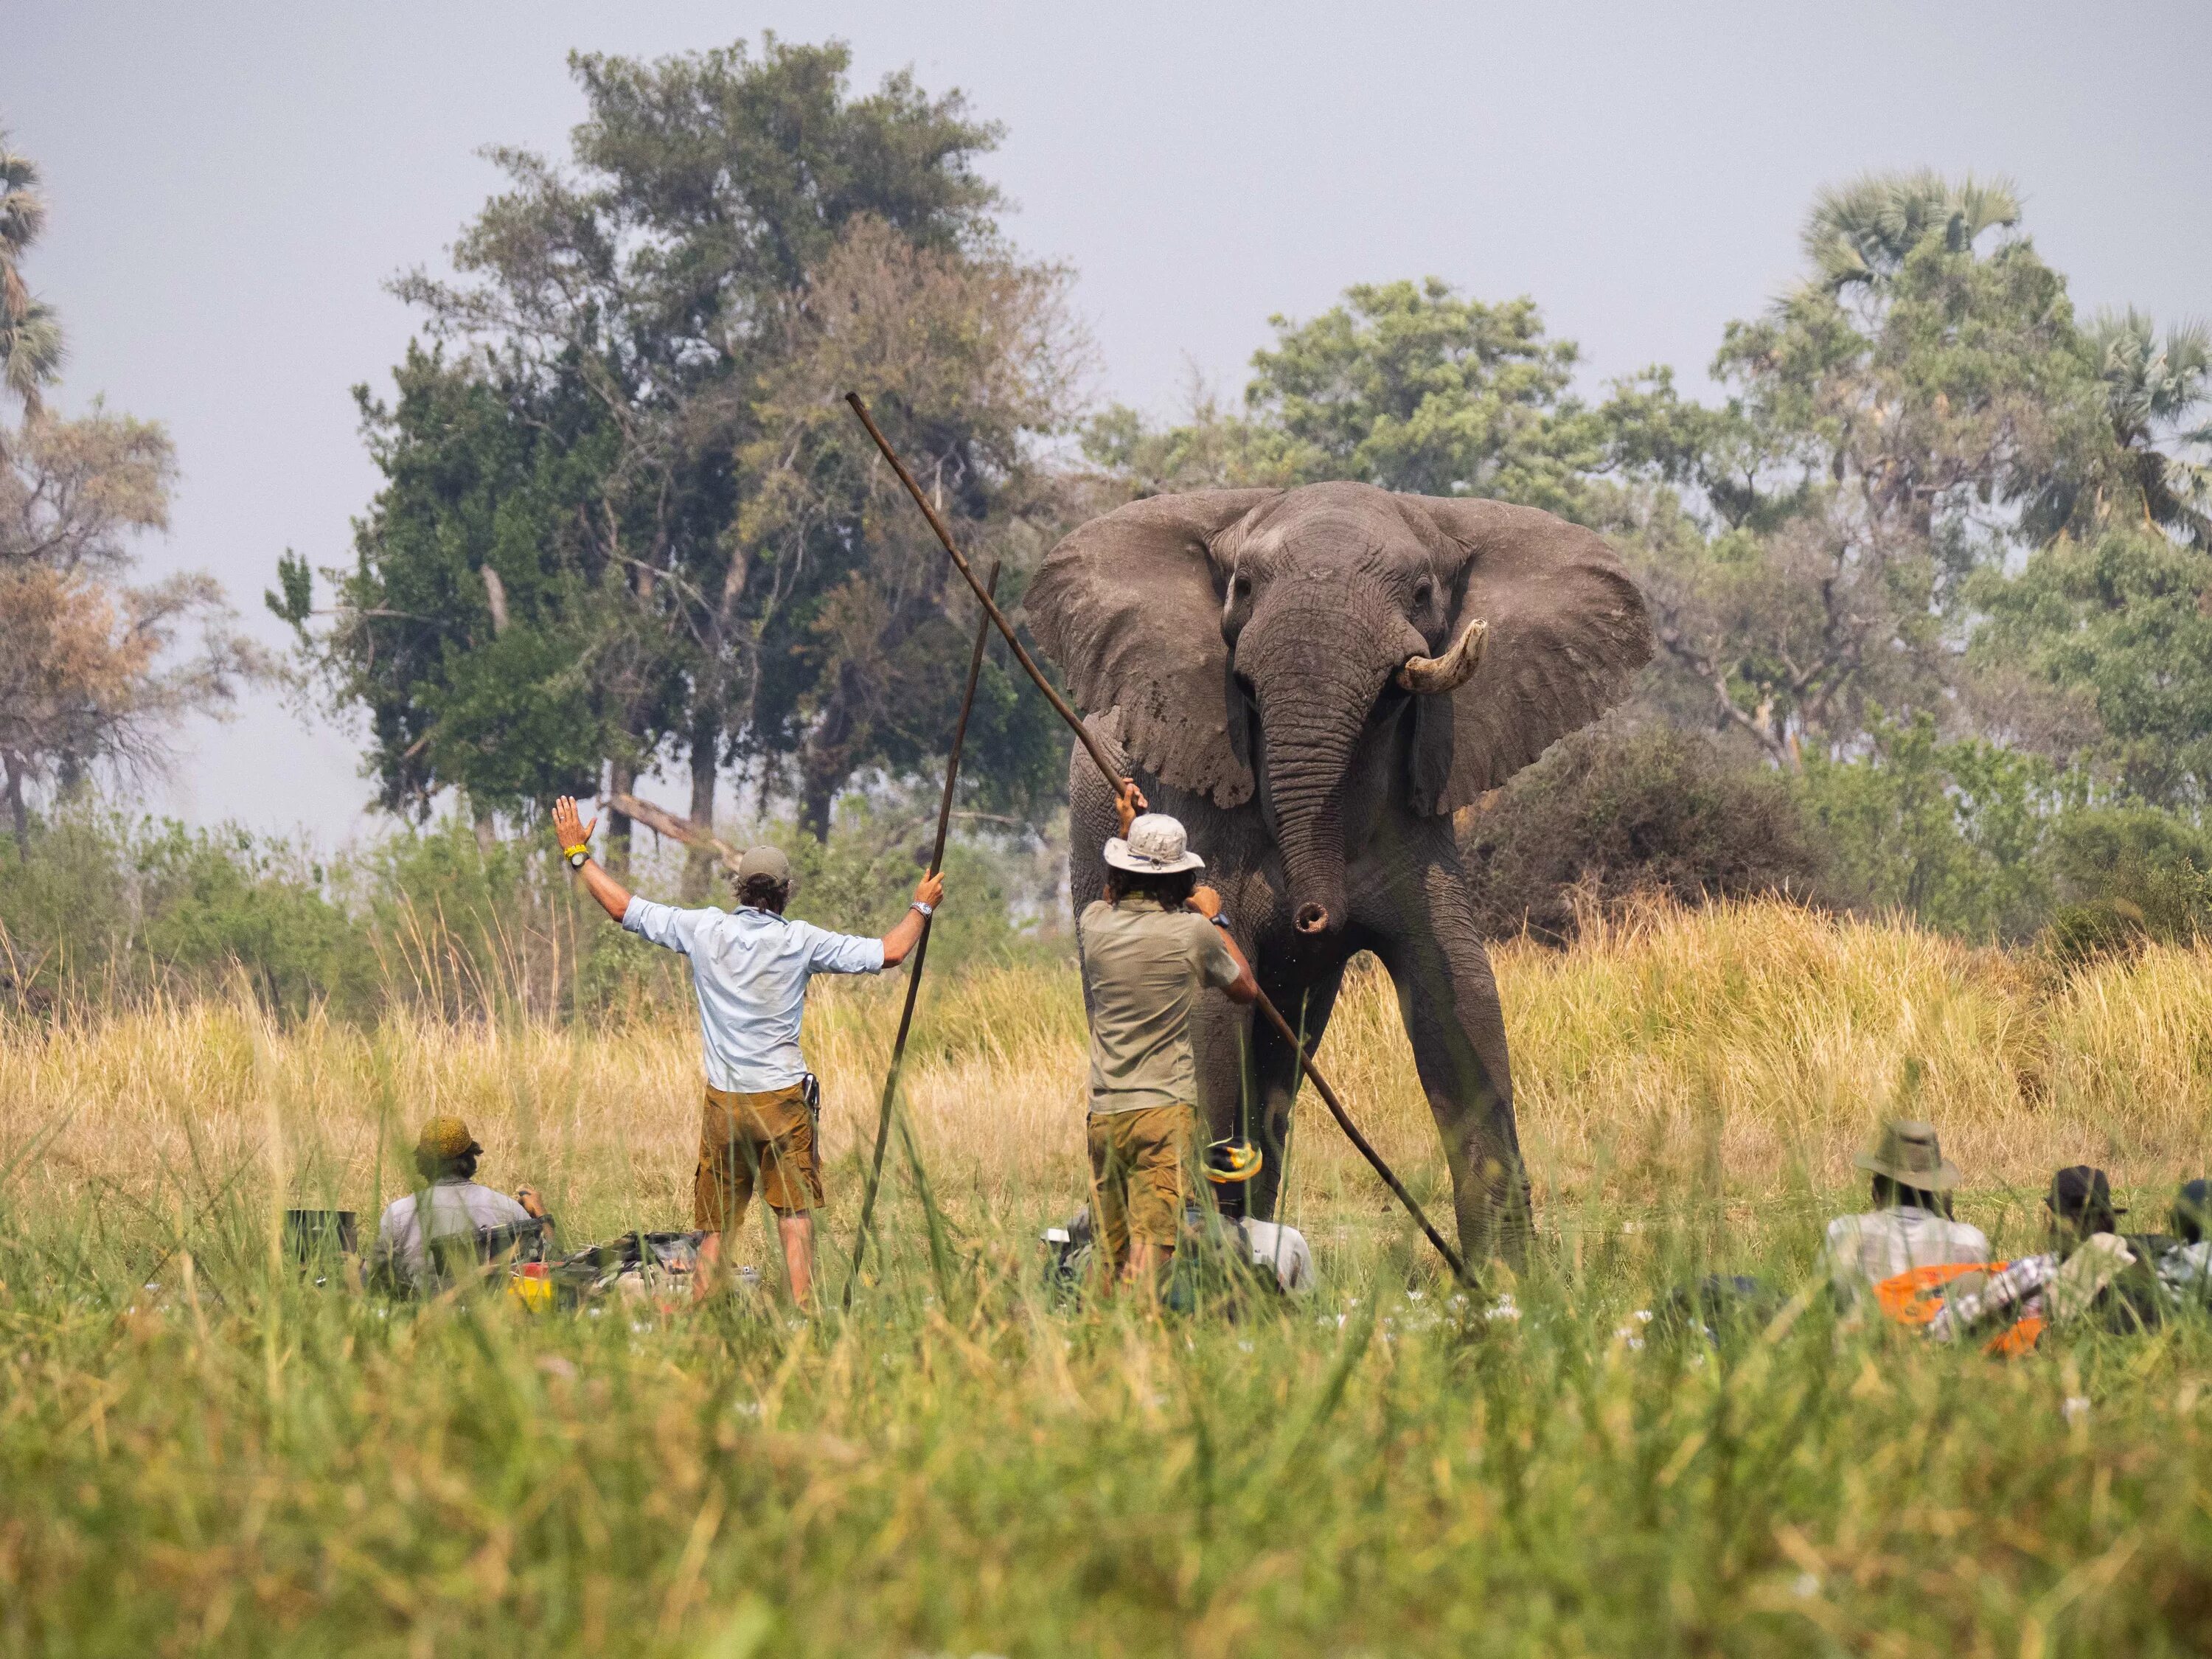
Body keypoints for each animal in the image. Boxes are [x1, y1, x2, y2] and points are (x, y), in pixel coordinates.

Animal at [1026, 487, 1655, 1265]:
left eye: (1423, 592)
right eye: (1242, 587)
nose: (1314, 917)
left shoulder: (1418, 817)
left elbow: (1460, 1004)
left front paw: (1509, 1282)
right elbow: (1207, 1011)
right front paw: (1200, 1255)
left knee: (1278, 1072)